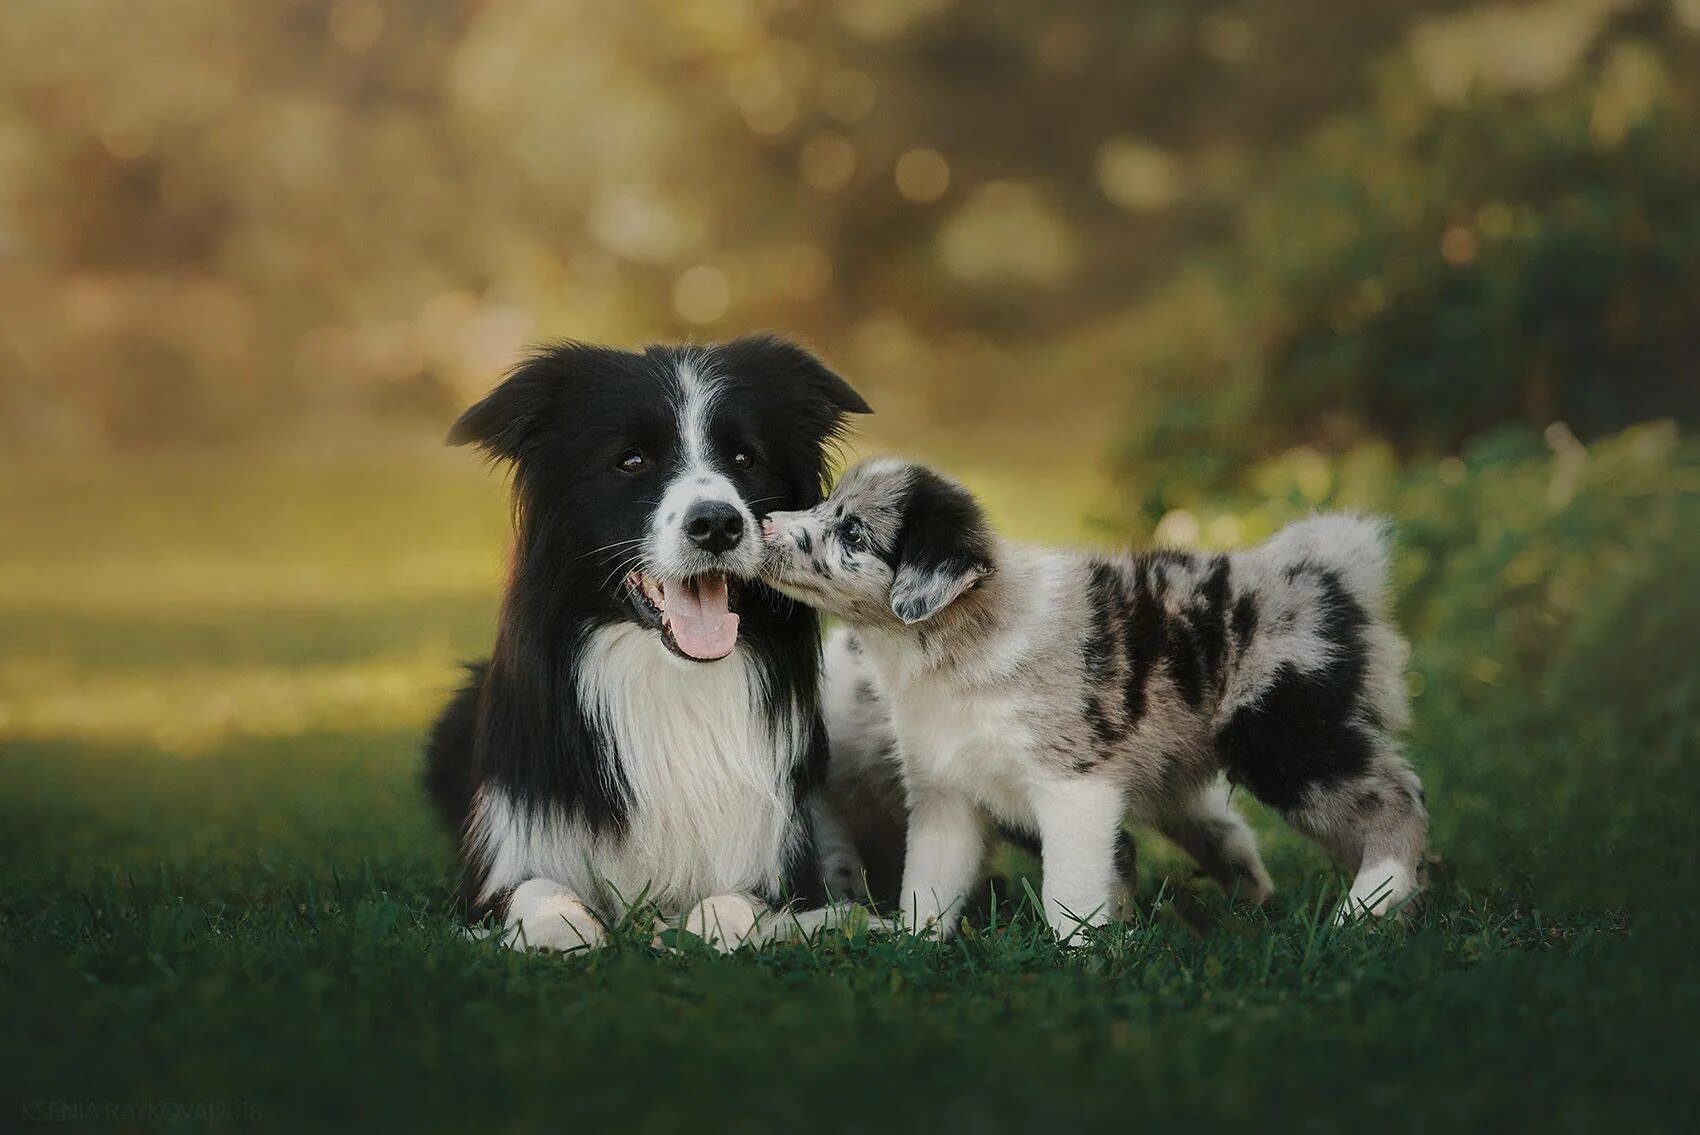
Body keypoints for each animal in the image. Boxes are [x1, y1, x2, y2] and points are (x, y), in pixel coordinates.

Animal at [423, 336, 870, 951]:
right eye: (631, 461)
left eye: (744, 459)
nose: (717, 524)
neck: (670, 680)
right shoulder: (506, 857)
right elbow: (537, 890)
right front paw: (558, 932)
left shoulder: (779, 865)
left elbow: (735, 902)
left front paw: (704, 932)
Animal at [765, 455, 1428, 937]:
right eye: (826, 503)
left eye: (853, 531)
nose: (765, 523)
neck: (959, 643)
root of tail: (1329, 574)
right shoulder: (946, 794)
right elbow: (928, 884)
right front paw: (910, 945)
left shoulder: (1073, 787)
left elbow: (1070, 888)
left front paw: (1079, 960)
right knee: (1235, 831)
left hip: (1285, 733)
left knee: (1399, 800)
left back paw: (1361, 909)